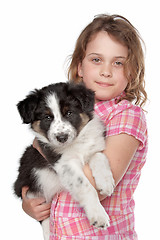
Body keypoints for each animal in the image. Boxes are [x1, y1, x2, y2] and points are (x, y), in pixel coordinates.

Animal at [13, 81, 114, 239]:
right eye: (47, 117)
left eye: (69, 113)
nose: (62, 137)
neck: (75, 143)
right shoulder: (62, 163)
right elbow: (84, 186)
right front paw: (99, 216)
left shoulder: (93, 149)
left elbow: (99, 157)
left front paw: (106, 183)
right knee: (44, 218)